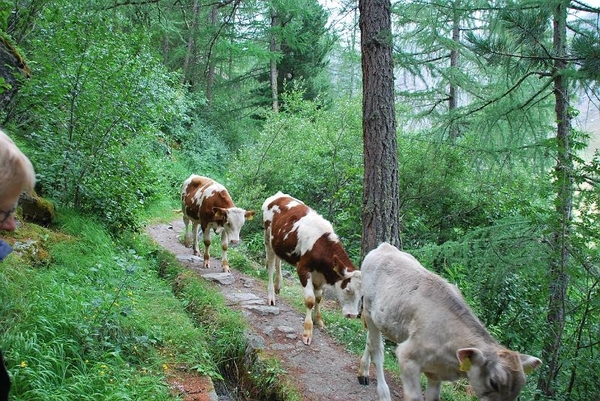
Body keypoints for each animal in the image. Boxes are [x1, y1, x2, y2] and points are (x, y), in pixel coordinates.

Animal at [262, 191, 360, 344]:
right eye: (348, 289)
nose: (353, 315)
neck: (321, 245)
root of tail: (279, 195)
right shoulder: (303, 269)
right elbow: (310, 300)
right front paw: (308, 331)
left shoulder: (321, 275)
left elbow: (319, 298)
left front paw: (318, 321)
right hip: (267, 238)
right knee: (271, 265)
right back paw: (271, 295)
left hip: (278, 243)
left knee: (278, 261)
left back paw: (278, 285)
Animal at [358, 241, 540, 400]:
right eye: (493, 382)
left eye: (518, 390)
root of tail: (385, 246)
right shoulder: (407, 357)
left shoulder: (435, 373)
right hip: (368, 308)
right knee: (377, 349)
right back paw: (383, 392)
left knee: (370, 341)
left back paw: (363, 371)